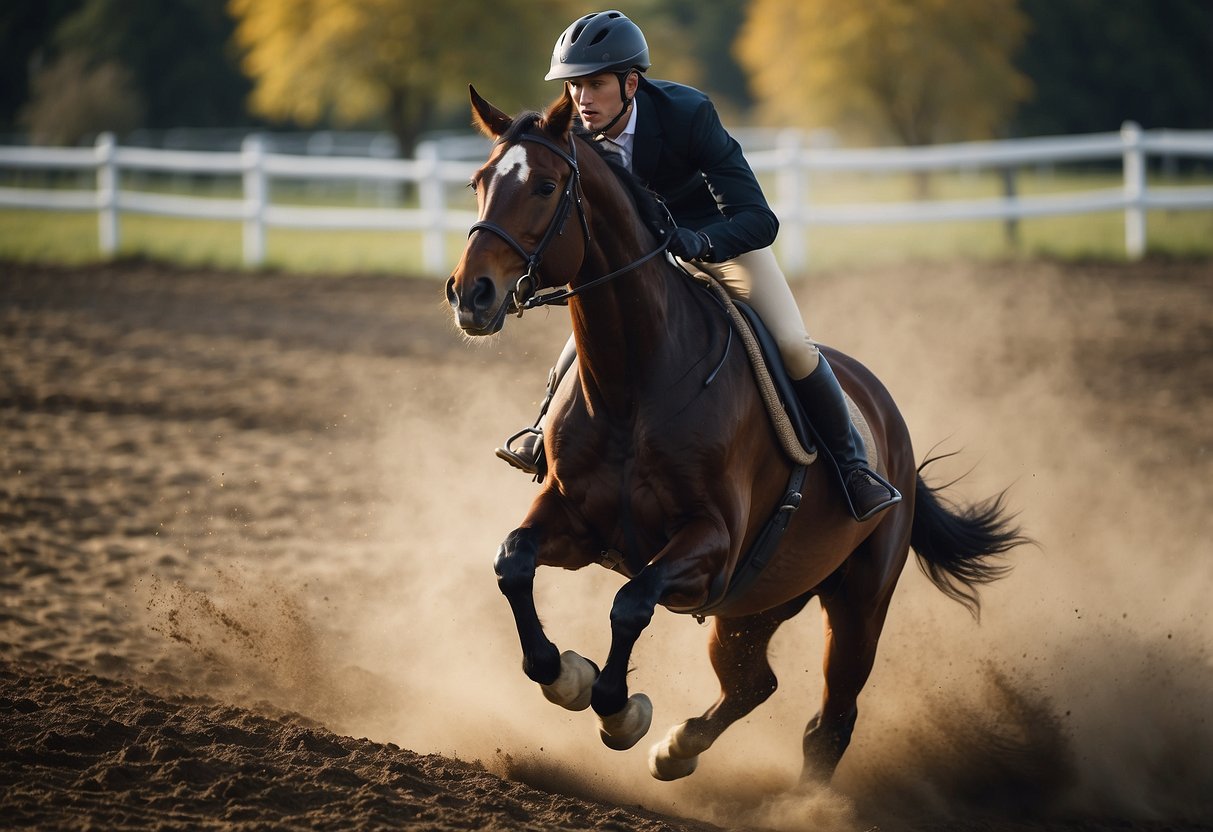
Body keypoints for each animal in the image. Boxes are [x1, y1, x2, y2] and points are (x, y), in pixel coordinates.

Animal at [446, 87, 1023, 785]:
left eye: (546, 186)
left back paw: (799, 799)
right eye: (479, 182)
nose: (470, 295)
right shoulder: (574, 517)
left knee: (832, 719)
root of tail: (893, 429)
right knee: (754, 685)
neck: (635, 384)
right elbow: (513, 562)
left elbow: (630, 602)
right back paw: (677, 750)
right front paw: (567, 678)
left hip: (856, 602)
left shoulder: (711, 546)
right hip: (759, 602)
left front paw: (618, 711)